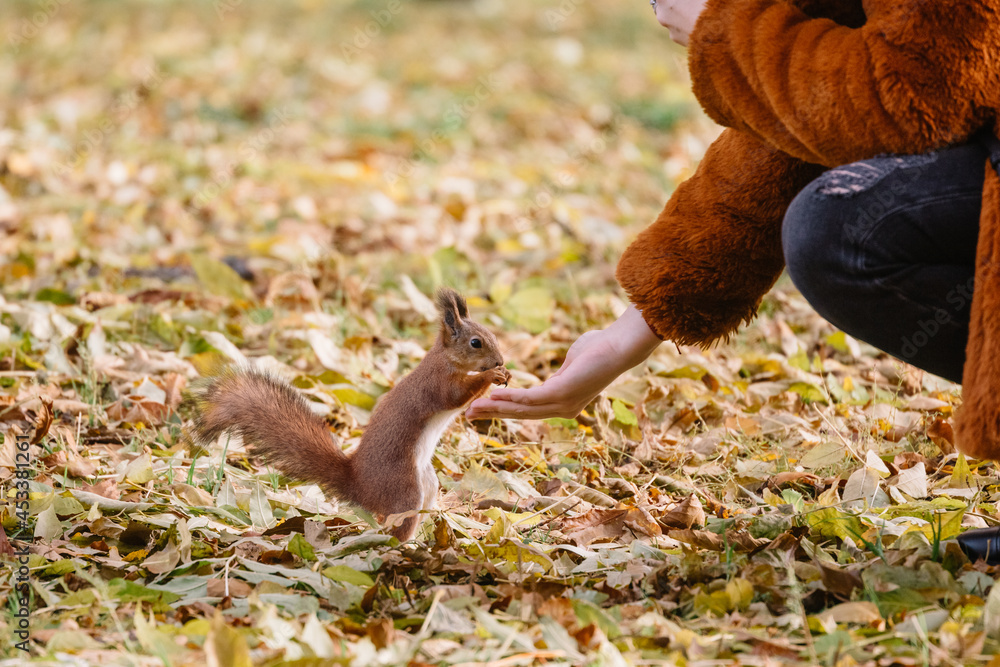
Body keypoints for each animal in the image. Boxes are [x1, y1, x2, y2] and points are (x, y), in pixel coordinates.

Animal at [192, 288, 511, 542]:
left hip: (427, 482)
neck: (445, 359)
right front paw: (492, 375)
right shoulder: (437, 383)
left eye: (492, 336)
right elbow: (456, 396)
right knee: (398, 527)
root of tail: (359, 485)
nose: (500, 360)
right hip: (404, 486)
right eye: (475, 342)